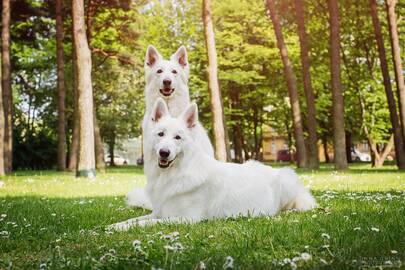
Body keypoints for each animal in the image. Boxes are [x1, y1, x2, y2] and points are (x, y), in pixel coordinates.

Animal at [109, 98, 318, 231]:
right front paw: (115, 225)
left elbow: (146, 223)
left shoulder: (186, 218)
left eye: (178, 137)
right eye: (161, 134)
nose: (164, 152)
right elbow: (134, 219)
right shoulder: (158, 212)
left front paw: (118, 229)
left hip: (287, 178)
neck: (175, 174)